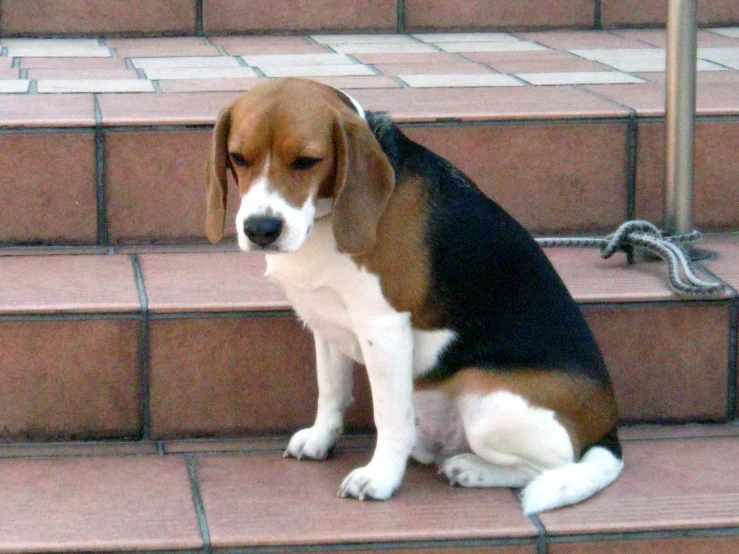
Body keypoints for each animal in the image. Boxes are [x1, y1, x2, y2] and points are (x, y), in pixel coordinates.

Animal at [207, 77, 624, 512]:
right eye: (238, 157)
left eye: (307, 161)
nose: (261, 229)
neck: (326, 218)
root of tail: (608, 432)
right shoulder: (325, 322)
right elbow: (331, 391)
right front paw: (322, 439)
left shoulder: (384, 328)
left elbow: (388, 417)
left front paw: (380, 478)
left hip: (488, 406)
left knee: (553, 465)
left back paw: (471, 469)